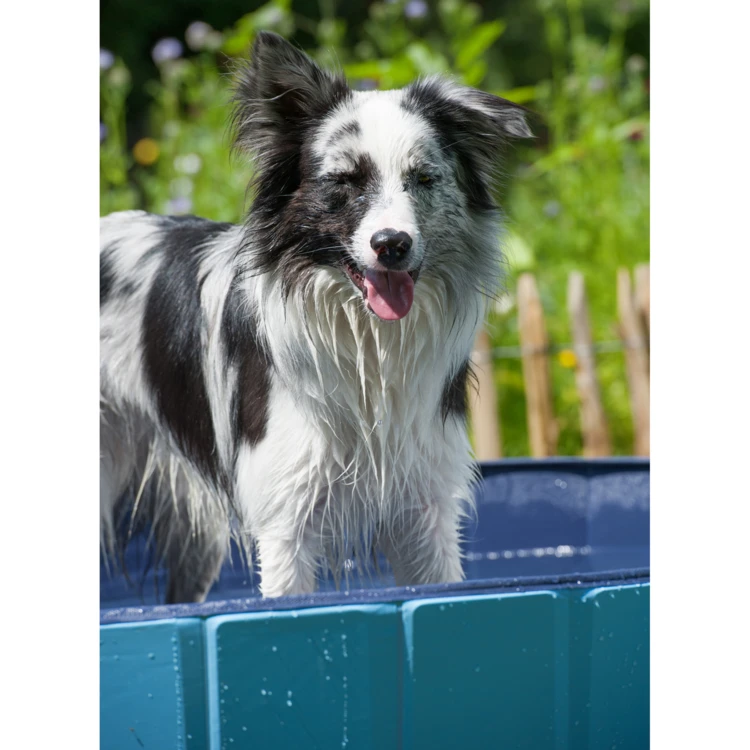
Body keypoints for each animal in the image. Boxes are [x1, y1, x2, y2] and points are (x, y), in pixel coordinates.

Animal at [101, 32, 536, 604]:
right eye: (346, 181)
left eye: (423, 178)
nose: (392, 244)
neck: (367, 343)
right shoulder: (286, 517)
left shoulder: (427, 506)